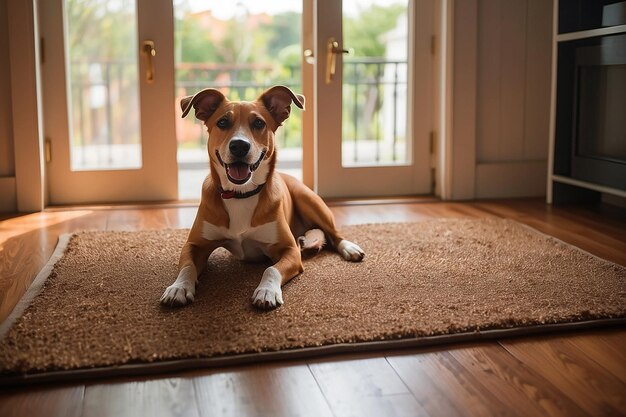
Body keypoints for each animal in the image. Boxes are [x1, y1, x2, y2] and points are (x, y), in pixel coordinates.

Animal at [161, 85, 364, 308]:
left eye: (259, 123)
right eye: (222, 122)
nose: (239, 146)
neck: (240, 194)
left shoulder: (290, 250)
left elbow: (271, 269)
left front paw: (267, 291)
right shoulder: (194, 245)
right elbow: (187, 266)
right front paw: (179, 287)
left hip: (309, 199)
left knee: (334, 234)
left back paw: (350, 248)